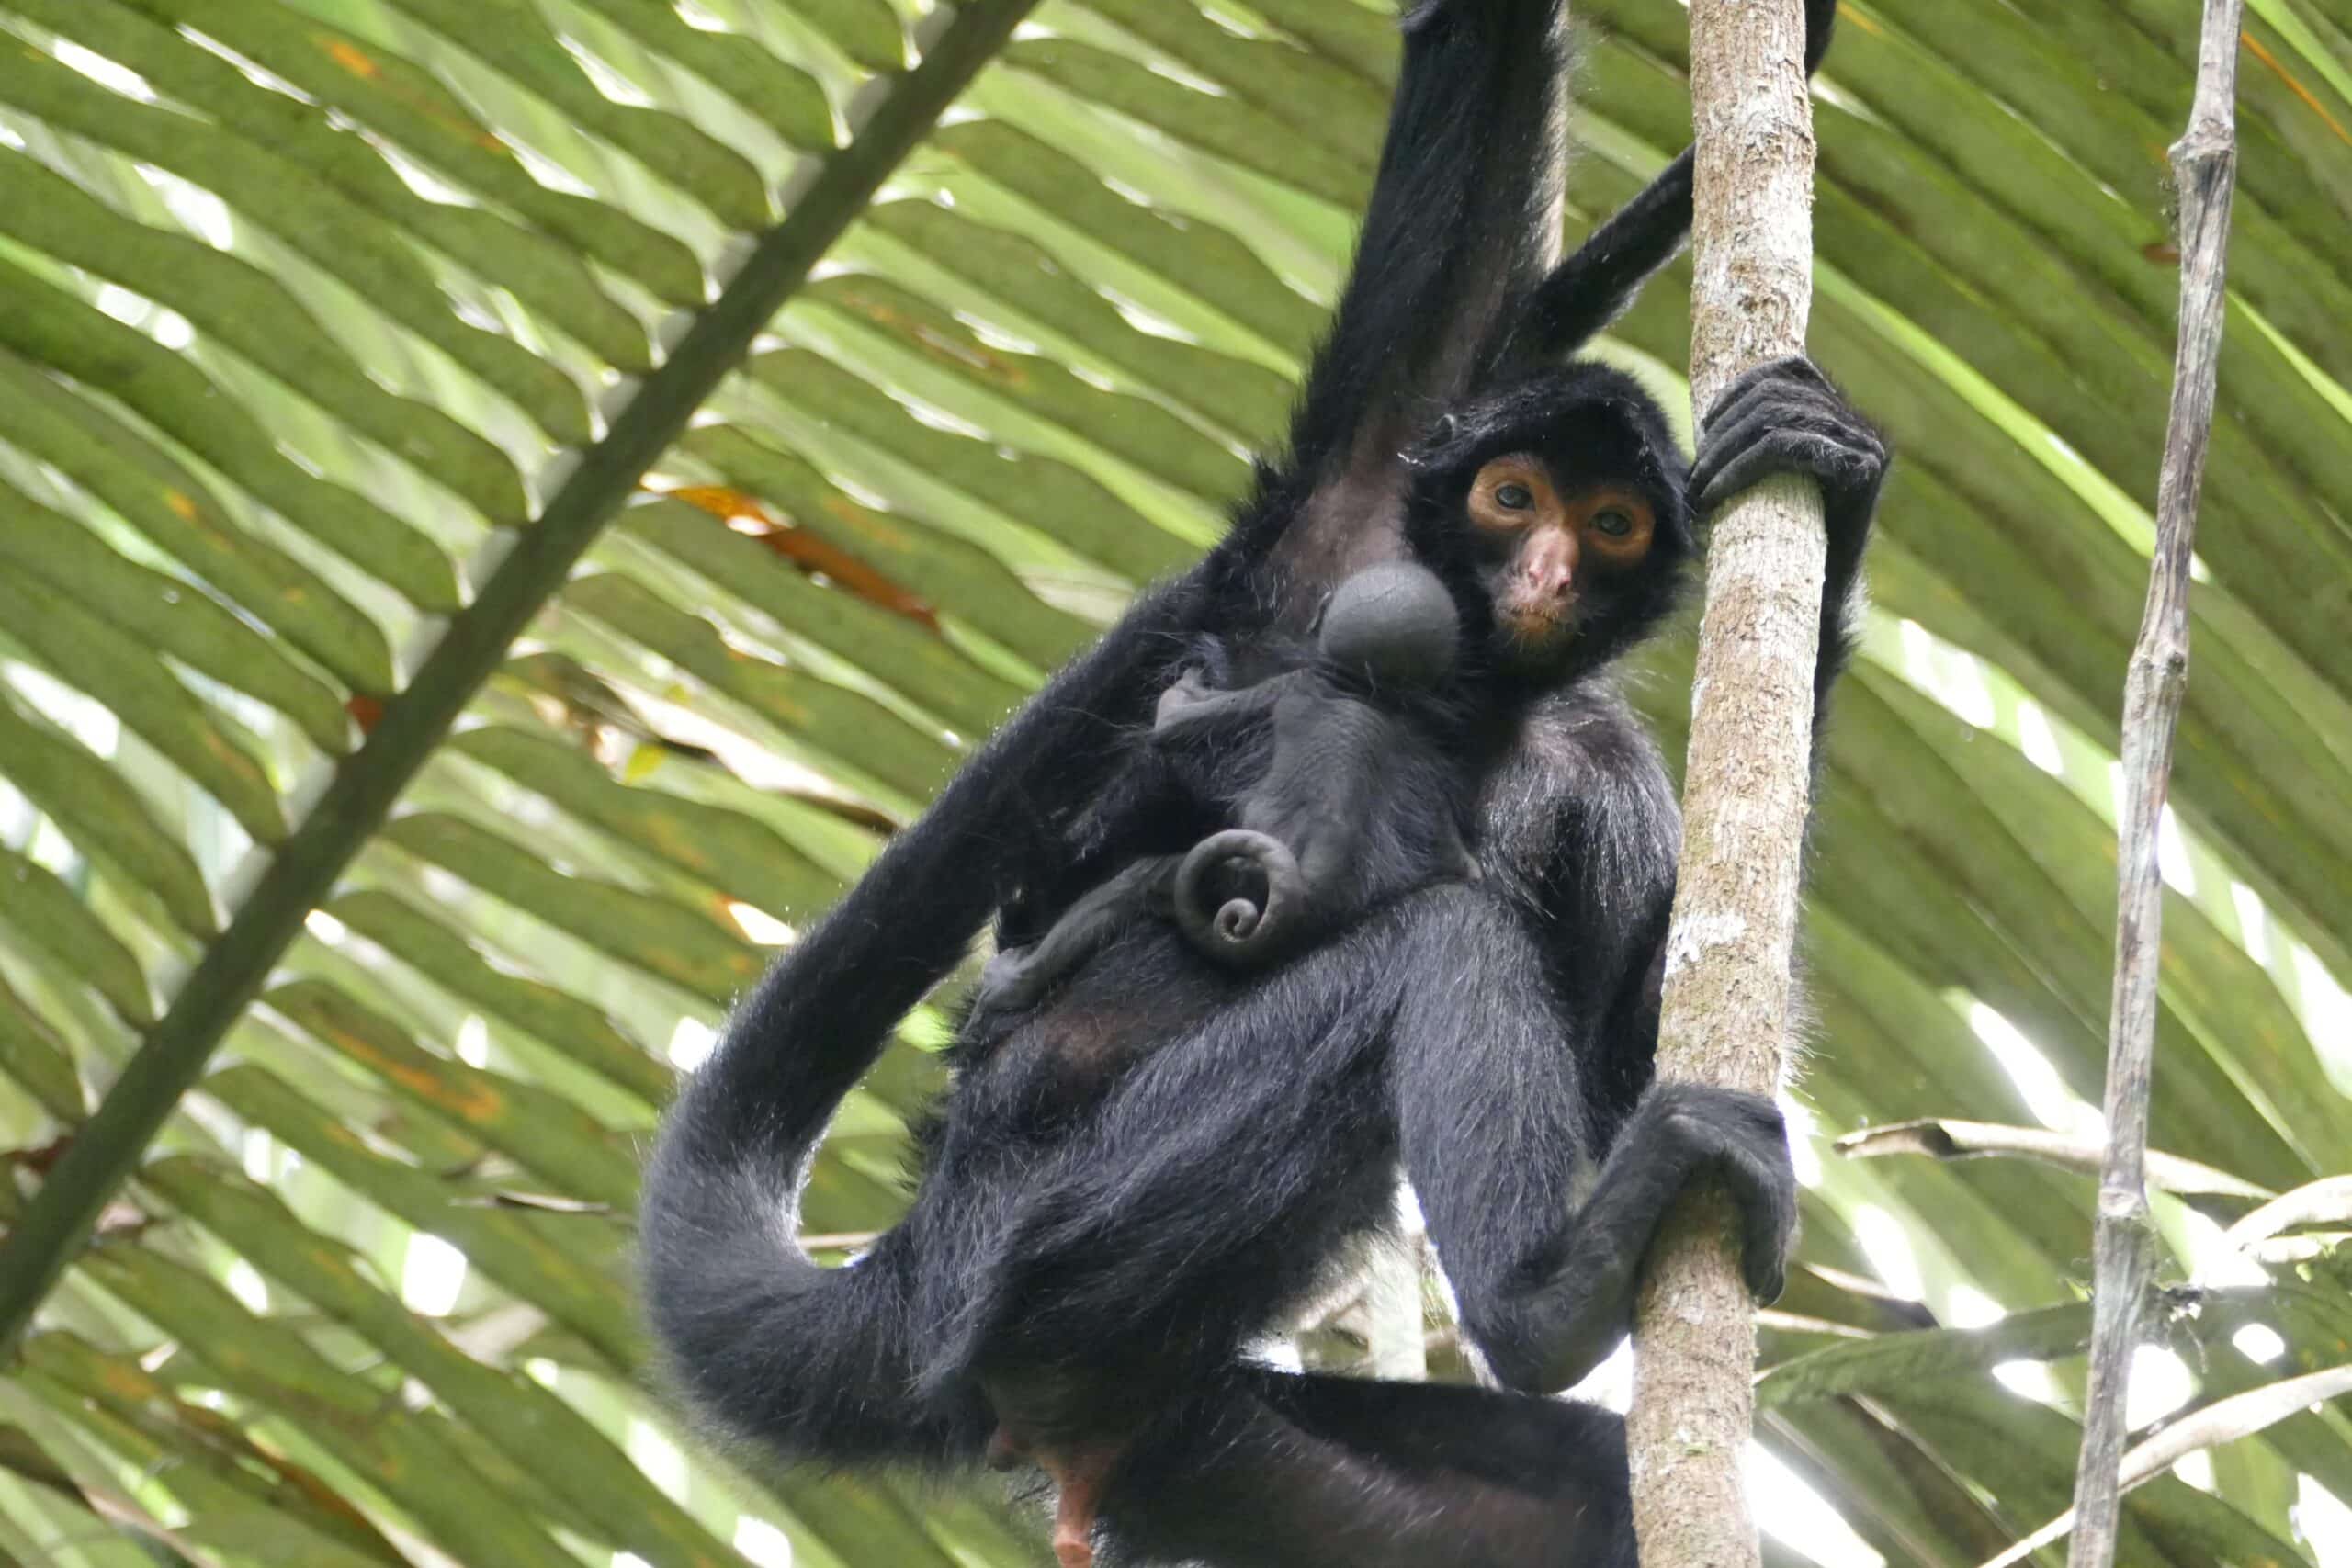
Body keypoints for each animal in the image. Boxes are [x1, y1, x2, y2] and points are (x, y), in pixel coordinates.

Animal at [639, 3, 1874, 1565]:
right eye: (1512, 501)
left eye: (1607, 524)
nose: (1542, 576)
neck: (1477, 703)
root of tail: (921, 1268)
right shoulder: (1341, 548)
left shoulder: (1603, 777)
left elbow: (1624, 1057)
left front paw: (1834, 488)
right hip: (1059, 1232)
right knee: (1438, 936)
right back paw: (1553, 1301)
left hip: (1208, 1439)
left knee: (1584, 1485)